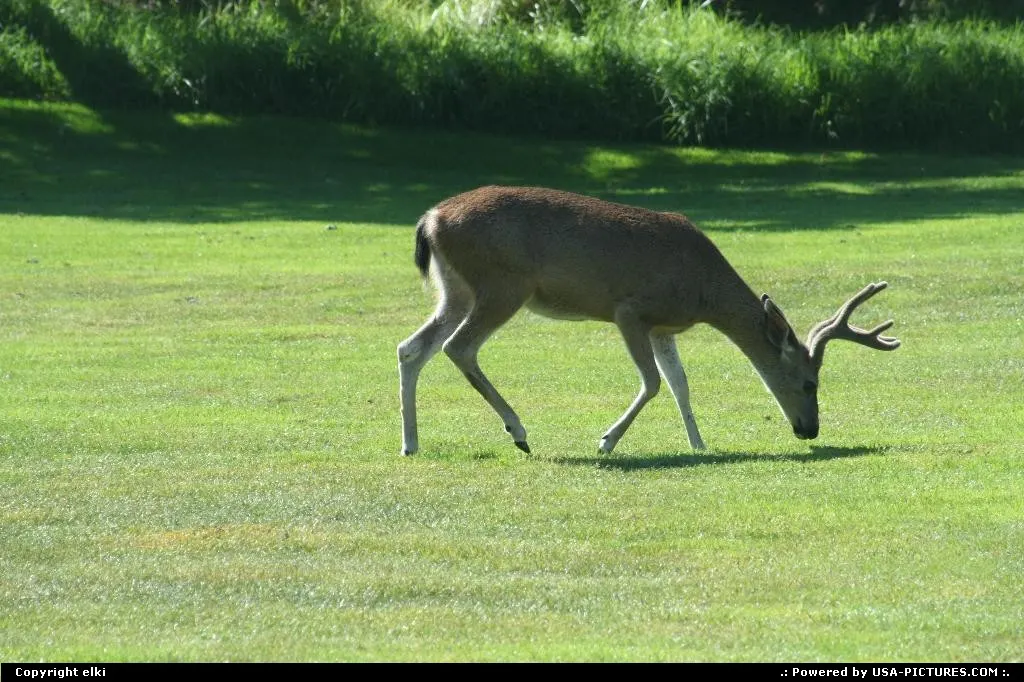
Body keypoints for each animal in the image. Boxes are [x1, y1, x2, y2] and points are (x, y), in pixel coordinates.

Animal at [397, 186, 900, 456]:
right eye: (810, 383)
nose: (809, 429)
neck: (703, 290)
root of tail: (431, 219)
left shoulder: (664, 327)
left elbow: (680, 384)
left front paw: (699, 444)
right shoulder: (630, 310)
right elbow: (653, 382)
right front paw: (605, 441)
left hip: (455, 290)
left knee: (411, 347)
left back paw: (411, 444)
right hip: (503, 284)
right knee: (458, 347)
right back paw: (518, 432)